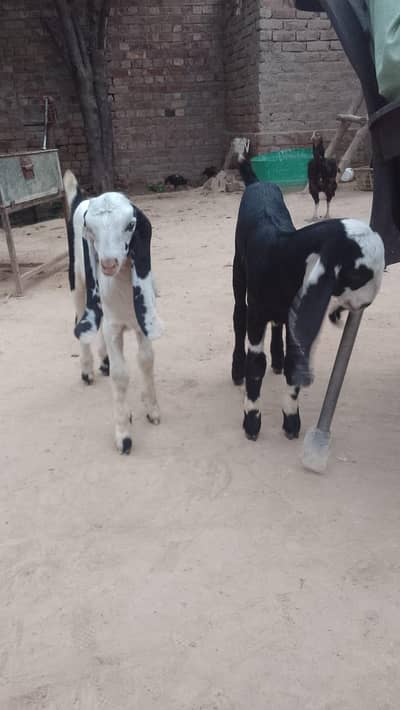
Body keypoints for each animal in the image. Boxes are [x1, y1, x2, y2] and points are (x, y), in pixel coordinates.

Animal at [64, 170, 162, 454]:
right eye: (90, 229)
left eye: (130, 225)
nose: (107, 264)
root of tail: (81, 200)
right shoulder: (113, 326)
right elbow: (121, 376)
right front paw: (123, 434)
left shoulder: (142, 320)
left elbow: (146, 360)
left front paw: (152, 409)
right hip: (77, 282)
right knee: (80, 317)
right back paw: (87, 370)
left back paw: (104, 360)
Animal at [232, 157, 385, 441]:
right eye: (358, 273)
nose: (367, 303)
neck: (282, 256)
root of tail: (259, 183)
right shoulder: (257, 315)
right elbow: (255, 365)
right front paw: (252, 421)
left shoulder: (298, 313)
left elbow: (294, 363)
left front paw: (292, 421)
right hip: (239, 273)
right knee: (238, 317)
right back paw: (237, 369)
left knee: (278, 324)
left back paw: (277, 358)